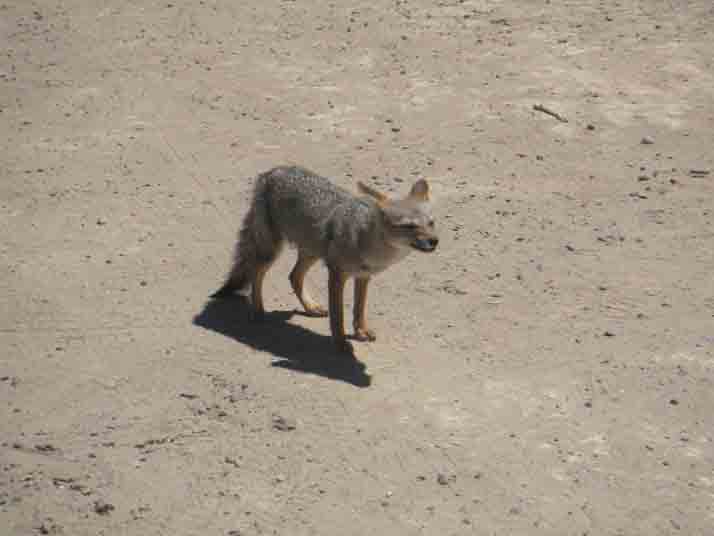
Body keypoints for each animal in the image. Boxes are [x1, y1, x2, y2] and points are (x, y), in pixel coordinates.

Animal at [211, 165, 439, 353]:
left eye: (431, 223)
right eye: (409, 226)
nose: (434, 241)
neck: (364, 239)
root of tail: (272, 172)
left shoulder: (363, 276)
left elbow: (359, 308)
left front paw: (360, 331)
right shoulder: (337, 274)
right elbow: (338, 316)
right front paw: (340, 343)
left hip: (311, 252)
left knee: (293, 276)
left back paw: (310, 307)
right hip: (272, 252)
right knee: (256, 274)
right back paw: (258, 311)